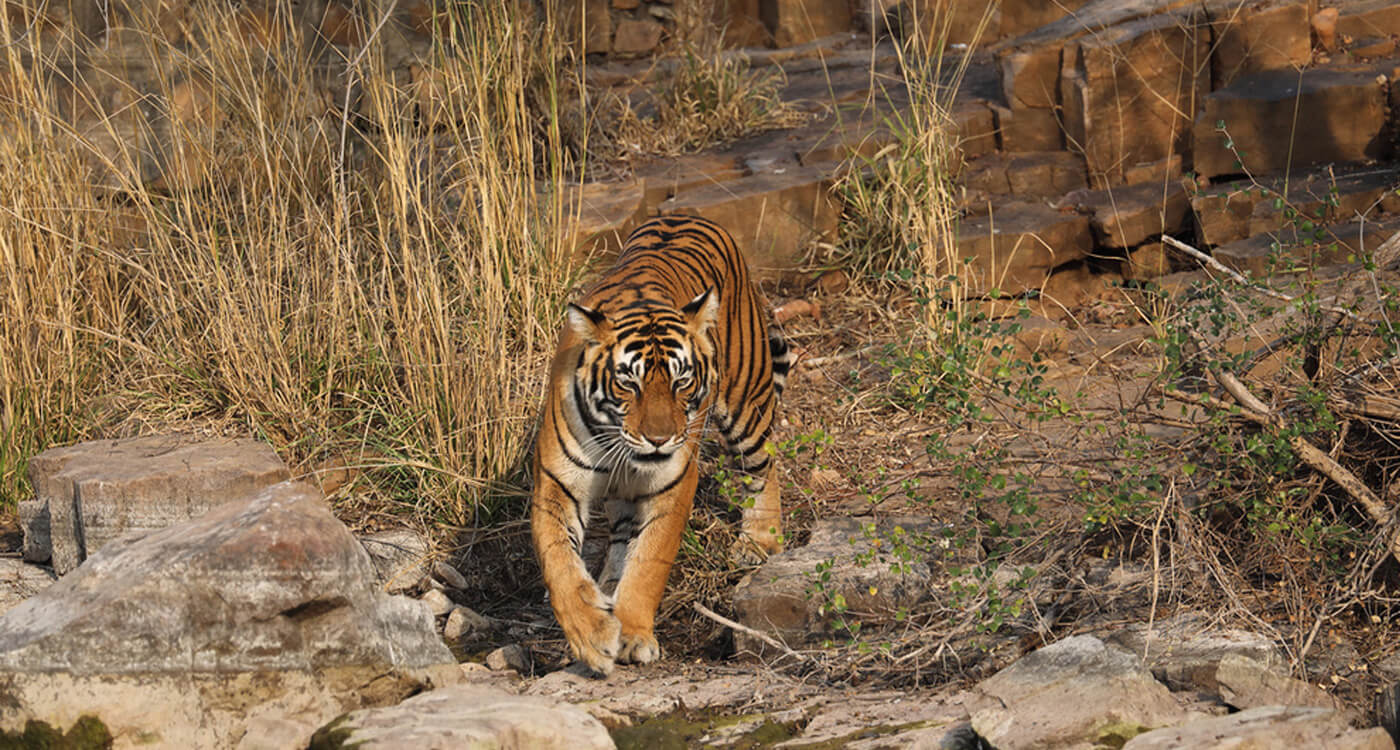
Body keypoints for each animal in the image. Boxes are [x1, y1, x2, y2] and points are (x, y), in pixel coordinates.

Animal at [526, 214, 789, 677]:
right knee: (620, 535)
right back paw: (608, 585)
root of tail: (689, 215)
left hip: (746, 398)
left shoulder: (673, 482)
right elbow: (559, 562)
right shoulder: (556, 483)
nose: (660, 439)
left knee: (763, 465)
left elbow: (649, 561)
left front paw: (631, 635)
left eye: (681, 379)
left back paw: (760, 540)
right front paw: (592, 635)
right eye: (627, 383)